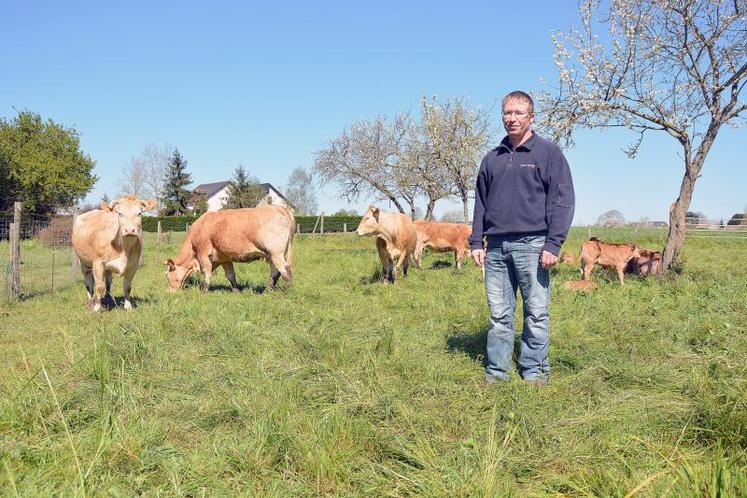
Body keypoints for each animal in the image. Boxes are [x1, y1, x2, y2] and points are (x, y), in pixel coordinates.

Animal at [165, 204, 294, 292]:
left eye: (166, 275)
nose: (168, 291)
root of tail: (277, 207)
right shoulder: (224, 258)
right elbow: (230, 275)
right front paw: (236, 290)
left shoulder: (203, 253)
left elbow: (206, 272)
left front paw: (204, 290)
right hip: (272, 255)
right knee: (276, 271)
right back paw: (268, 290)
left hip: (276, 253)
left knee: (285, 269)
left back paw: (289, 290)